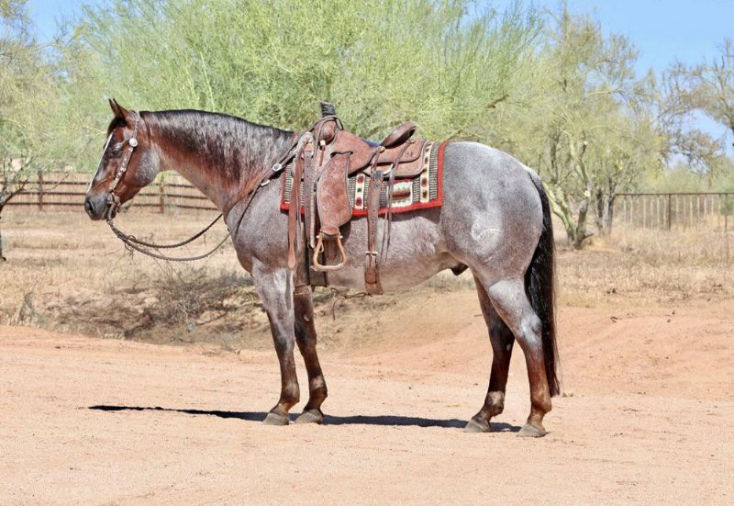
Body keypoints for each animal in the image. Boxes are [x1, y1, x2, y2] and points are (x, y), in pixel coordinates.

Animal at [84, 99, 560, 437]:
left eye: (116, 147)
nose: (92, 203)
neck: (260, 173)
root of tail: (525, 170)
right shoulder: (299, 280)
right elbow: (306, 337)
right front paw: (314, 407)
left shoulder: (270, 273)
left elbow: (280, 337)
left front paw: (282, 406)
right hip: (484, 279)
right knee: (501, 339)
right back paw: (483, 415)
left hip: (500, 280)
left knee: (528, 331)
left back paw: (534, 418)